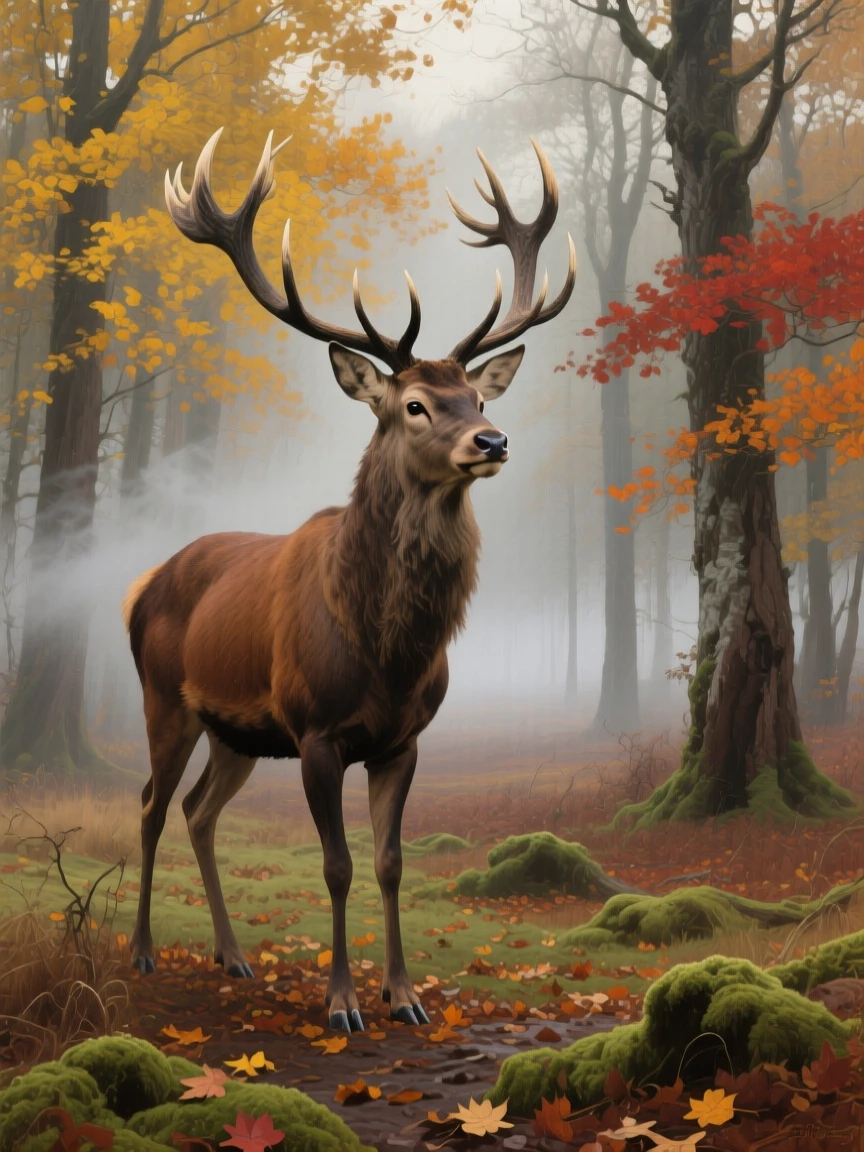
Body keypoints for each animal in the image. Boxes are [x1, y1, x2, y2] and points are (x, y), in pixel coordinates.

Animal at [123, 127, 575, 1032]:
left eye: (476, 395)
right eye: (414, 405)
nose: (493, 441)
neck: (385, 651)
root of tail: (140, 587)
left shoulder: (403, 739)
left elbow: (391, 861)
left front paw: (404, 997)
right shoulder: (316, 731)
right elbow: (335, 865)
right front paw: (340, 1004)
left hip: (235, 733)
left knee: (198, 810)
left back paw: (233, 956)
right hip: (165, 698)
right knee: (152, 803)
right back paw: (146, 949)